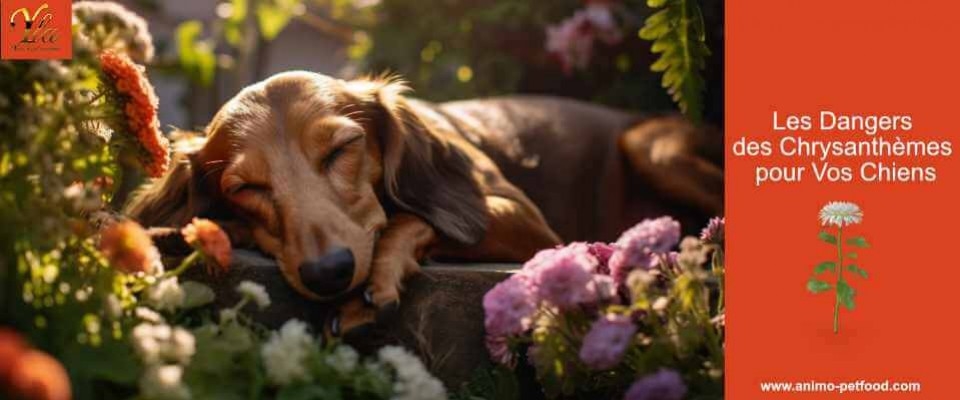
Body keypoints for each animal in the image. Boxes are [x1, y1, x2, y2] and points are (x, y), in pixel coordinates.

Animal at [125, 70, 720, 332]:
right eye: (244, 188)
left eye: (341, 148)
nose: (328, 273)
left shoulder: (527, 221)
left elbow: (410, 216)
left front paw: (380, 278)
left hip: (654, 148)